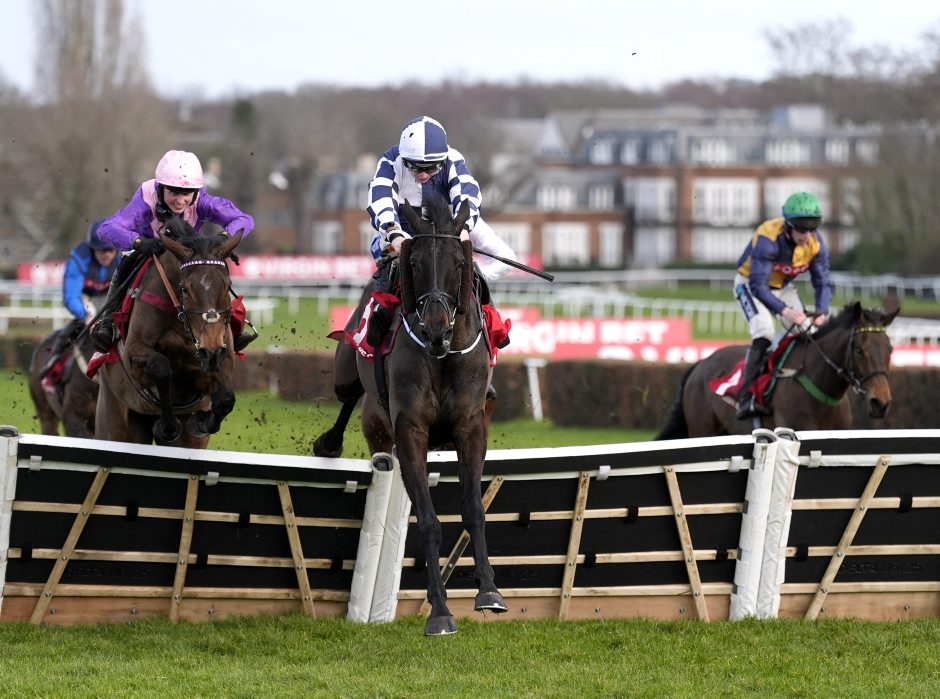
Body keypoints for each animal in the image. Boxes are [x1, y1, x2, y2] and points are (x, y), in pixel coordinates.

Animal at [94, 220, 243, 447]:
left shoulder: (218, 358)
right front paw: (168, 425)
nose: (210, 349)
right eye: (185, 289)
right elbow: (161, 368)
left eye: (227, 286)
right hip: (115, 420)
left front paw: (202, 421)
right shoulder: (134, 354)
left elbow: (225, 398)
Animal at [312, 193, 507, 635]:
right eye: (415, 262)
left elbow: (474, 510)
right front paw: (440, 612)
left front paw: (489, 592)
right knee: (348, 395)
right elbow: (429, 521)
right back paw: (328, 443)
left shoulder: (470, 428)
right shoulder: (410, 432)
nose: (435, 328)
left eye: (457, 262)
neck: (441, 355)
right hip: (351, 374)